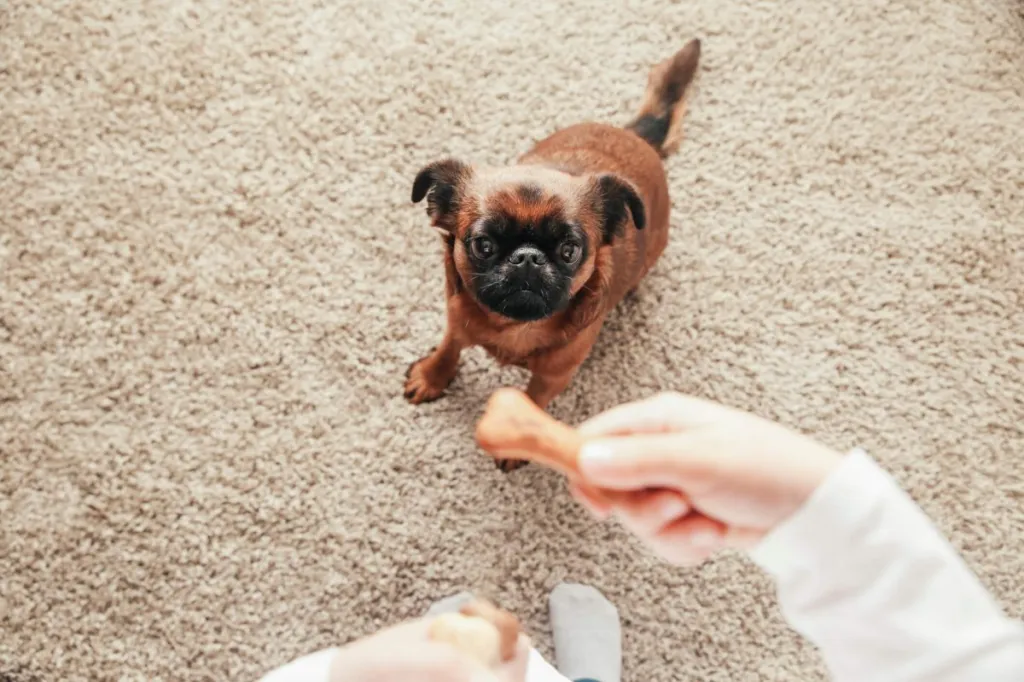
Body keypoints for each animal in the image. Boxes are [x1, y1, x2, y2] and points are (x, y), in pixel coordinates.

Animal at [403, 41, 700, 466]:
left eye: (569, 249)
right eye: (483, 245)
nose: (527, 257)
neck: (512, 327)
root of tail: (633, 135)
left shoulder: (553, 377)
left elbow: (532, 400)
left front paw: (519, 439)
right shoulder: (456, 320)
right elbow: (449, 348)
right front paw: (431, 376)